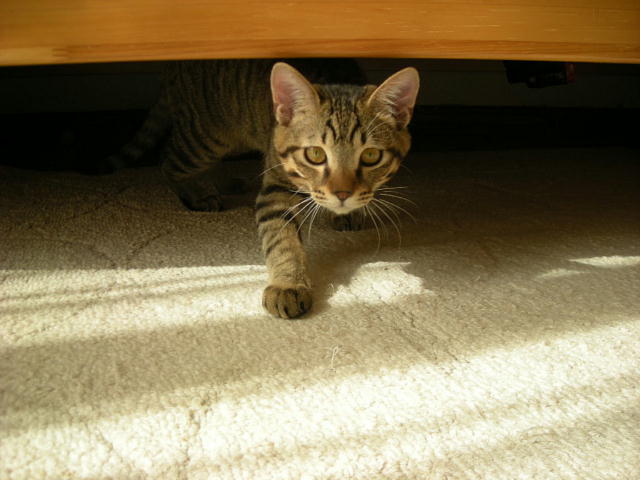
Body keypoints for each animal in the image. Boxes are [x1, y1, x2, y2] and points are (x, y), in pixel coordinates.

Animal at [111, 59, 420, 318]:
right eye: (315, 154)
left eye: (371, 156)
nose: (342, 194)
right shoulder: (275, 190)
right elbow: (282, 239)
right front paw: (288, 284)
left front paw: (348, 213)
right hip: (208, 137)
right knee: (169, 159)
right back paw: (197, 191)